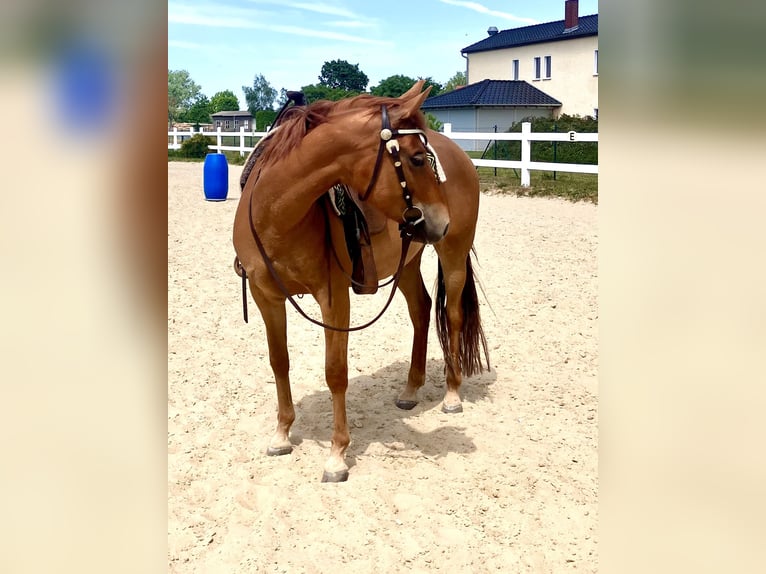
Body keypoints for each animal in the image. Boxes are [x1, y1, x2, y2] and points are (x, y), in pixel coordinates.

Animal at [232, 80, 489, 482]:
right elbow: (279, 361)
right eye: (417, 158)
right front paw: (282, 433)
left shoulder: (334, 298)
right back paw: (411, 390)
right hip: (408, 260)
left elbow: (335, 372)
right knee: (422, 310)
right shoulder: (265, 296)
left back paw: (451, 395)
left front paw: (337, 454)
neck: (275, 212)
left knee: (453, 316)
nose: (441, 220)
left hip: (452, 253)